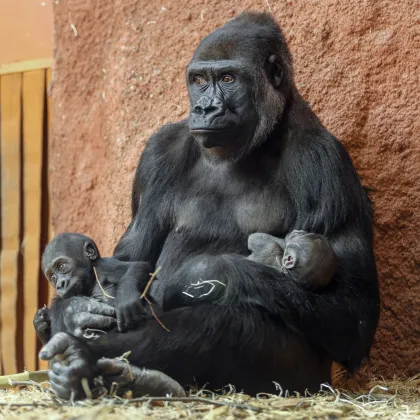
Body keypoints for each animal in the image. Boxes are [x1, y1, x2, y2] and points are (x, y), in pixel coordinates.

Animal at [40, 12, 380, 398]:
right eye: (200, 80)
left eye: (229, 78)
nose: (205, 108)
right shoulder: (157, 154)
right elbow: (128, 259)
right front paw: (74, 309)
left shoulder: (325, 164)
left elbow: (353, 311)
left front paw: (206, 272)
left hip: (310, 381)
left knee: (228, 324)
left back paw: (89, 362)